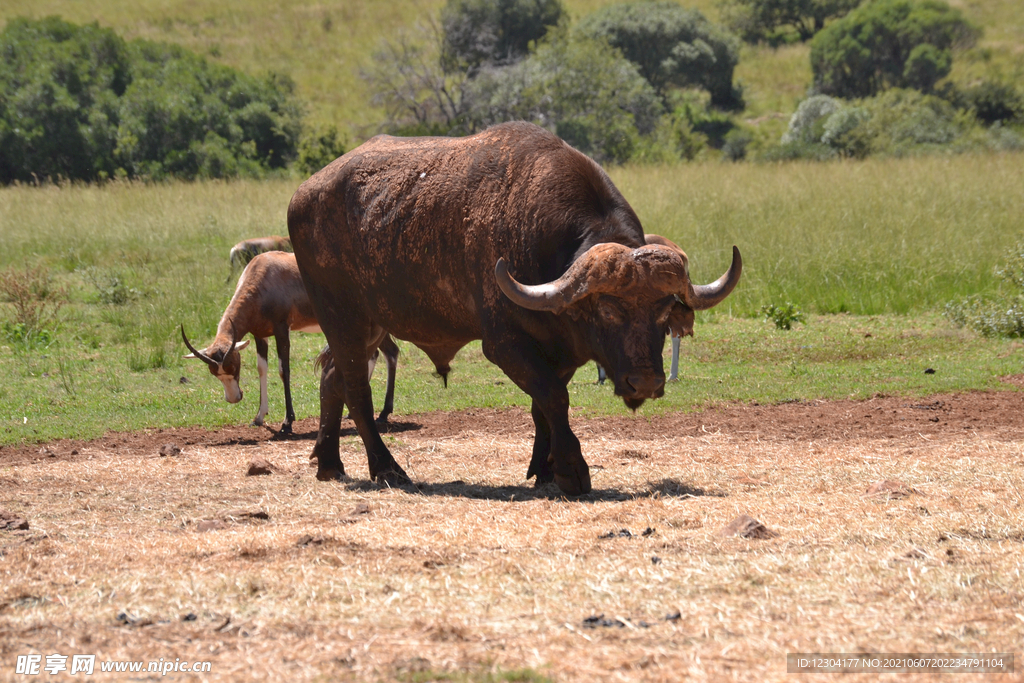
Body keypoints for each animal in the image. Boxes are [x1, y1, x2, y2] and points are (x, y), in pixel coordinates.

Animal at [180, 250, 395, 432]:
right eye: (214, 372)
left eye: (233, 365)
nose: (234, 398)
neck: (264, 272)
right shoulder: (260, 335)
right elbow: (261, 369)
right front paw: (258, 417)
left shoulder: (282, 329)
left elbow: (284, 370)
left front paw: (287, 423)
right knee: (379, 353)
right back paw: (355, 412)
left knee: (389, 353)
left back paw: (383, 414)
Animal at [284, 122, 741, 493]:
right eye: (608, 310)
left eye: (663, 311)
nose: (644, 383)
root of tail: (302, 195)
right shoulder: (504, 345)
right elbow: (555, 398)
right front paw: (572, 471)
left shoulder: (558, 351)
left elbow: (543, 406)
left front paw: (545, 468)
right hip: (342, 318)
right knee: (356, 391)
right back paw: (387, 469)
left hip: (371, 324)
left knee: (332, 378)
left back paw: (329, 463)